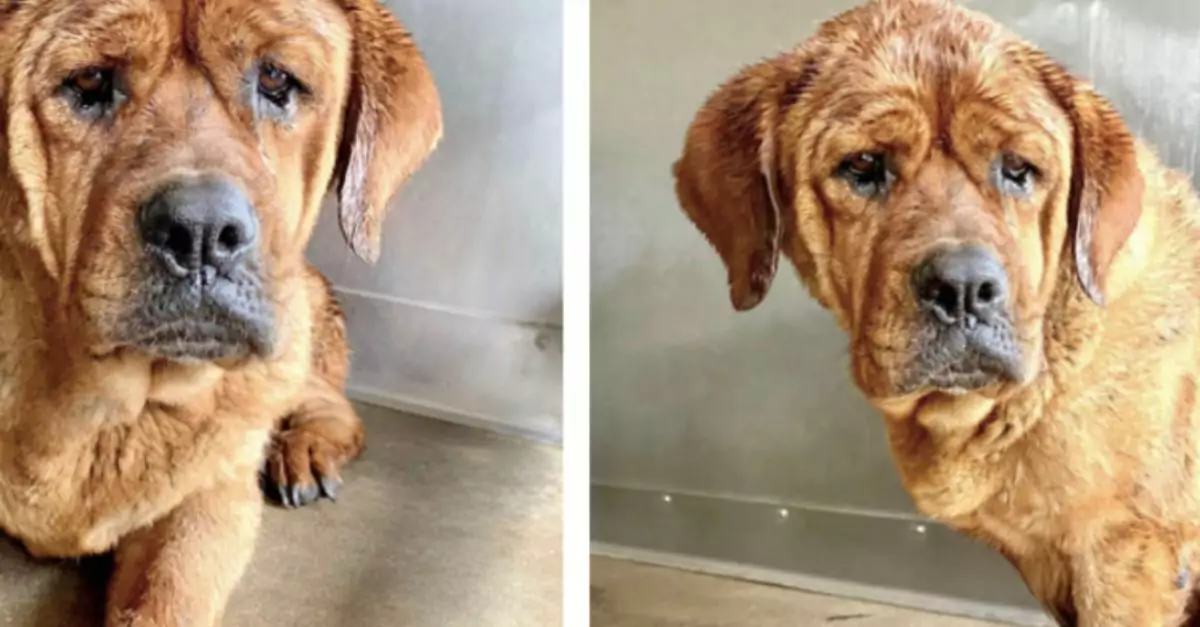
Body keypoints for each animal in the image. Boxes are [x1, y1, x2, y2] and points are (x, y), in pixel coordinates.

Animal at [0, 1, 441, 624]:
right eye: (89, 81)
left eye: (276, 79)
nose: (200, 231)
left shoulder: (209, 501)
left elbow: (167, 596)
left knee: (335, 408)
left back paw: (306, 451)